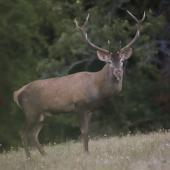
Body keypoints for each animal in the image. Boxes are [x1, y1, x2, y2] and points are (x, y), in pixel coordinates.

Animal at [13, 10, 145, 159]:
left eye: (122, 60)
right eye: (109, 62)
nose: (118, 71)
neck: (96, 88)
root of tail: (17, 93)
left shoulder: (90, 110)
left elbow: (88, 130)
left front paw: (87, 151)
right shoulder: (79, 106)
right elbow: (83, 130)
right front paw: (85, 152)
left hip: (41, 115)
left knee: (33, 133)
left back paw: (45, 155)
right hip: (30, 111)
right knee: (23, 132)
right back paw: (29, 158)